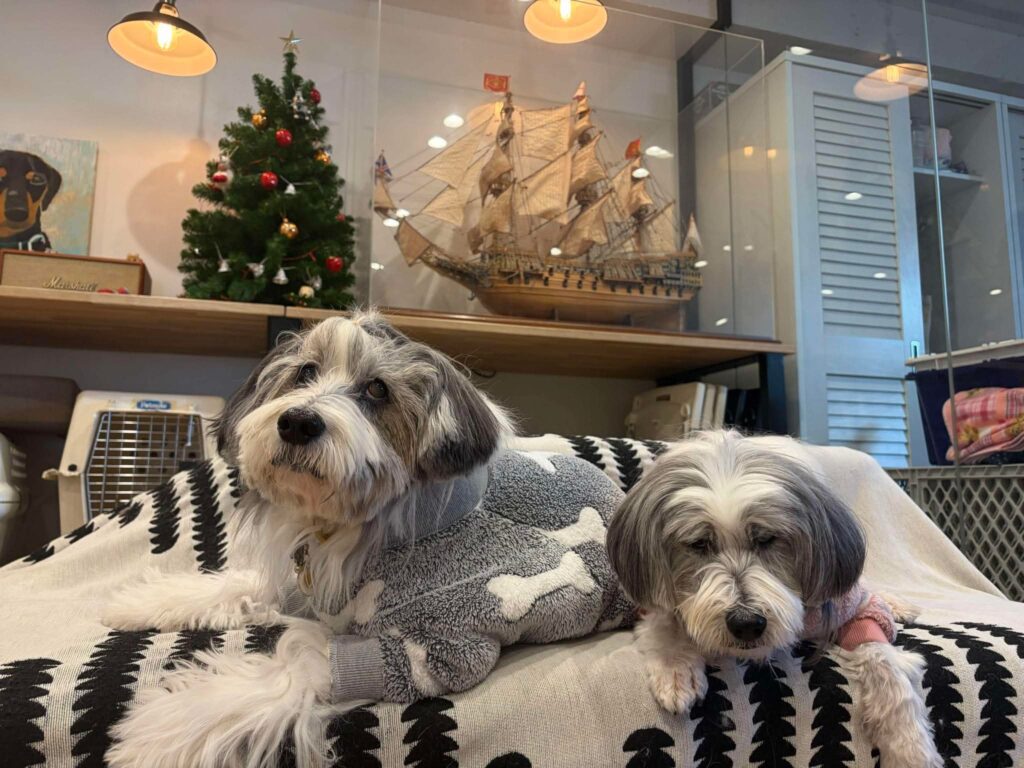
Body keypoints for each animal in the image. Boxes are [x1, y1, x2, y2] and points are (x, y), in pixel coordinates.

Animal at [103, 311, 630, 768]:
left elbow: (299, 660)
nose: (298, 422)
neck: (363, 532)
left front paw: (168, 727)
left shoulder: (436, 649)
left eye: (377, 389)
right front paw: (142, 602)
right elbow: (244, 586)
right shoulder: (305, 587)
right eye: (306, 372)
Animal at [607, 430, 941, 768]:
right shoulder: (651, 596)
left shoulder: (847, 605)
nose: (746, 624)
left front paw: (908, 745)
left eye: (767, 539)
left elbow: (883, 659)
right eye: (699, 544)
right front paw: (675, 668)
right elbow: (666, 621)